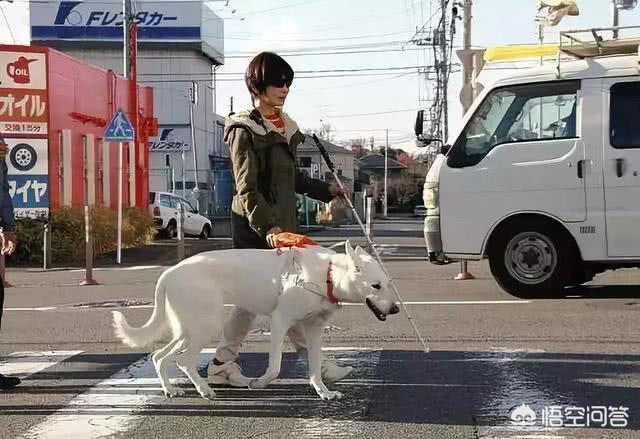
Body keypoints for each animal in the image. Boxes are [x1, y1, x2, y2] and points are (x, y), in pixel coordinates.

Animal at [112, 241, 398, 402]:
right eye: (376, 286)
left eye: (388, 283)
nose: (395, 309)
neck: (326, 275)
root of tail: (169, 272)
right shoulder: (280, 322)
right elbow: (275, 367)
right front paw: (259, 383)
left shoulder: (314, 330)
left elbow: (315, 368)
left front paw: (324, 392)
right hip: (206, 326)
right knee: (183, 360)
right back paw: (204, 390)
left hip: (187, 329)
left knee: (159, 356)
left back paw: (170, 389)